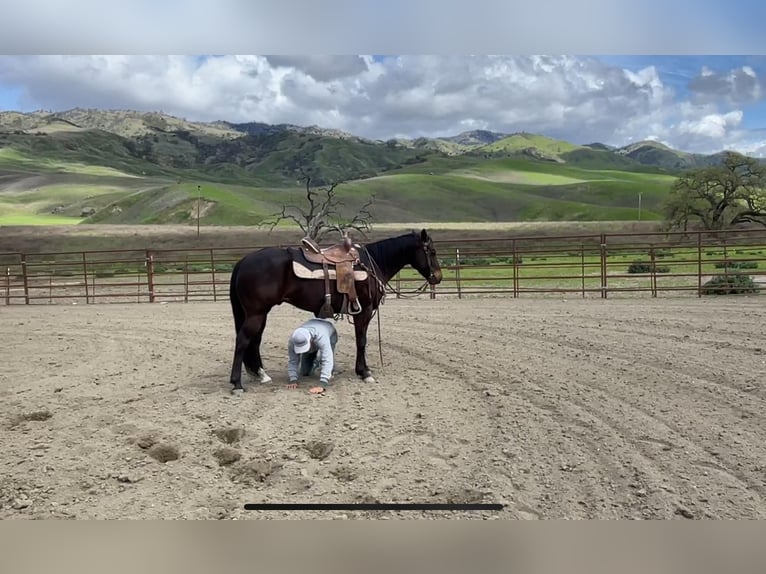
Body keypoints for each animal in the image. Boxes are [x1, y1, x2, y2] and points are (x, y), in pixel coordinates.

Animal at [228, 230, 444, 396]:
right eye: (432, 251)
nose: (438, 277)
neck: (372, 263)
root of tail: (243, 261)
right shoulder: (364, 311)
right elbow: (361, 341)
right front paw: (365, 372)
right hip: (256, 314)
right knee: (243, 341)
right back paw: (237, 384)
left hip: (260, 314)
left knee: (254, 341)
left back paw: (261, 374)